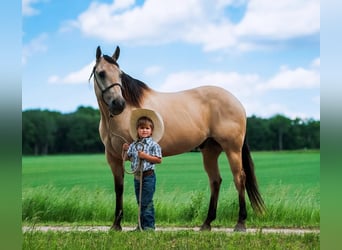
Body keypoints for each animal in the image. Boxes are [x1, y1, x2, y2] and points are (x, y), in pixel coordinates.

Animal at [89, 45, 266, 232]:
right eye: (101, 73)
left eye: (120, 74)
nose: (118, 104)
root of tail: (237, 102)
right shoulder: (114, 158)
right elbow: (119, 188)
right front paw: (116, 225)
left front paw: (139, 226)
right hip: (210, 151)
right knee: (215, 181)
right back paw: (206, 223)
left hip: (232, 148)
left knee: (239, 178)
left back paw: (240, 223)